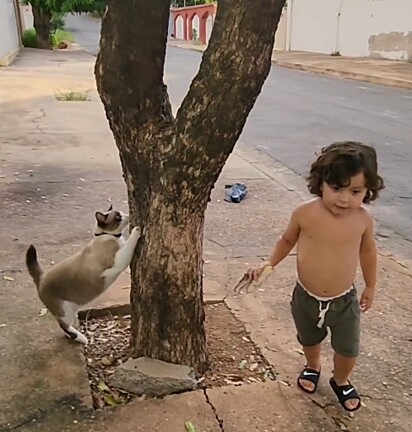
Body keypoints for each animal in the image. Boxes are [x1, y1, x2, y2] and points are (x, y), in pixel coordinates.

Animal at [27, 205, 142, 344]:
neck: (107, 235)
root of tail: (41, 277)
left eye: (122, 213)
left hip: (72, 307)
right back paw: (82, 338)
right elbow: (130, 244)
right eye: (118, 217)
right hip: (66, 311)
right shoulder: (119, 261)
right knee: (63, 326)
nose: (128, 216)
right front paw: (137, 230)